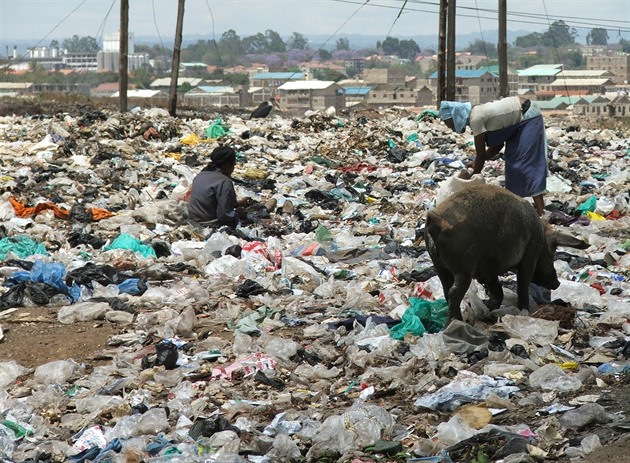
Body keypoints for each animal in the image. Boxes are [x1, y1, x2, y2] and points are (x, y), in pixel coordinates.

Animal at [424, 185, 592, 322]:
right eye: (552, 254)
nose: (557, 283)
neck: (542, 239)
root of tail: (437, 221)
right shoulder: (529, 257)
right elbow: (522, 285)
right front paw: (524, 311)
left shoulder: (489, 269)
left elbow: (497, 289)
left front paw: (491, 310)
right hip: (464, 268)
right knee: (454, 292)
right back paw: (455, 322)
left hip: (438, 264)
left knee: (446, 289)